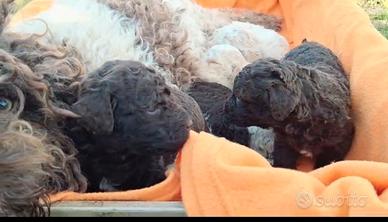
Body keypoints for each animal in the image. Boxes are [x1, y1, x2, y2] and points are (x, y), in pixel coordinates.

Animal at [226, 40, 356, 168]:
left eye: (241, 98)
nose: (225, 107)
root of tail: (309, 42)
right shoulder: (283, 141)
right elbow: (284, 160)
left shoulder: (339, 142)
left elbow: (327, 163)